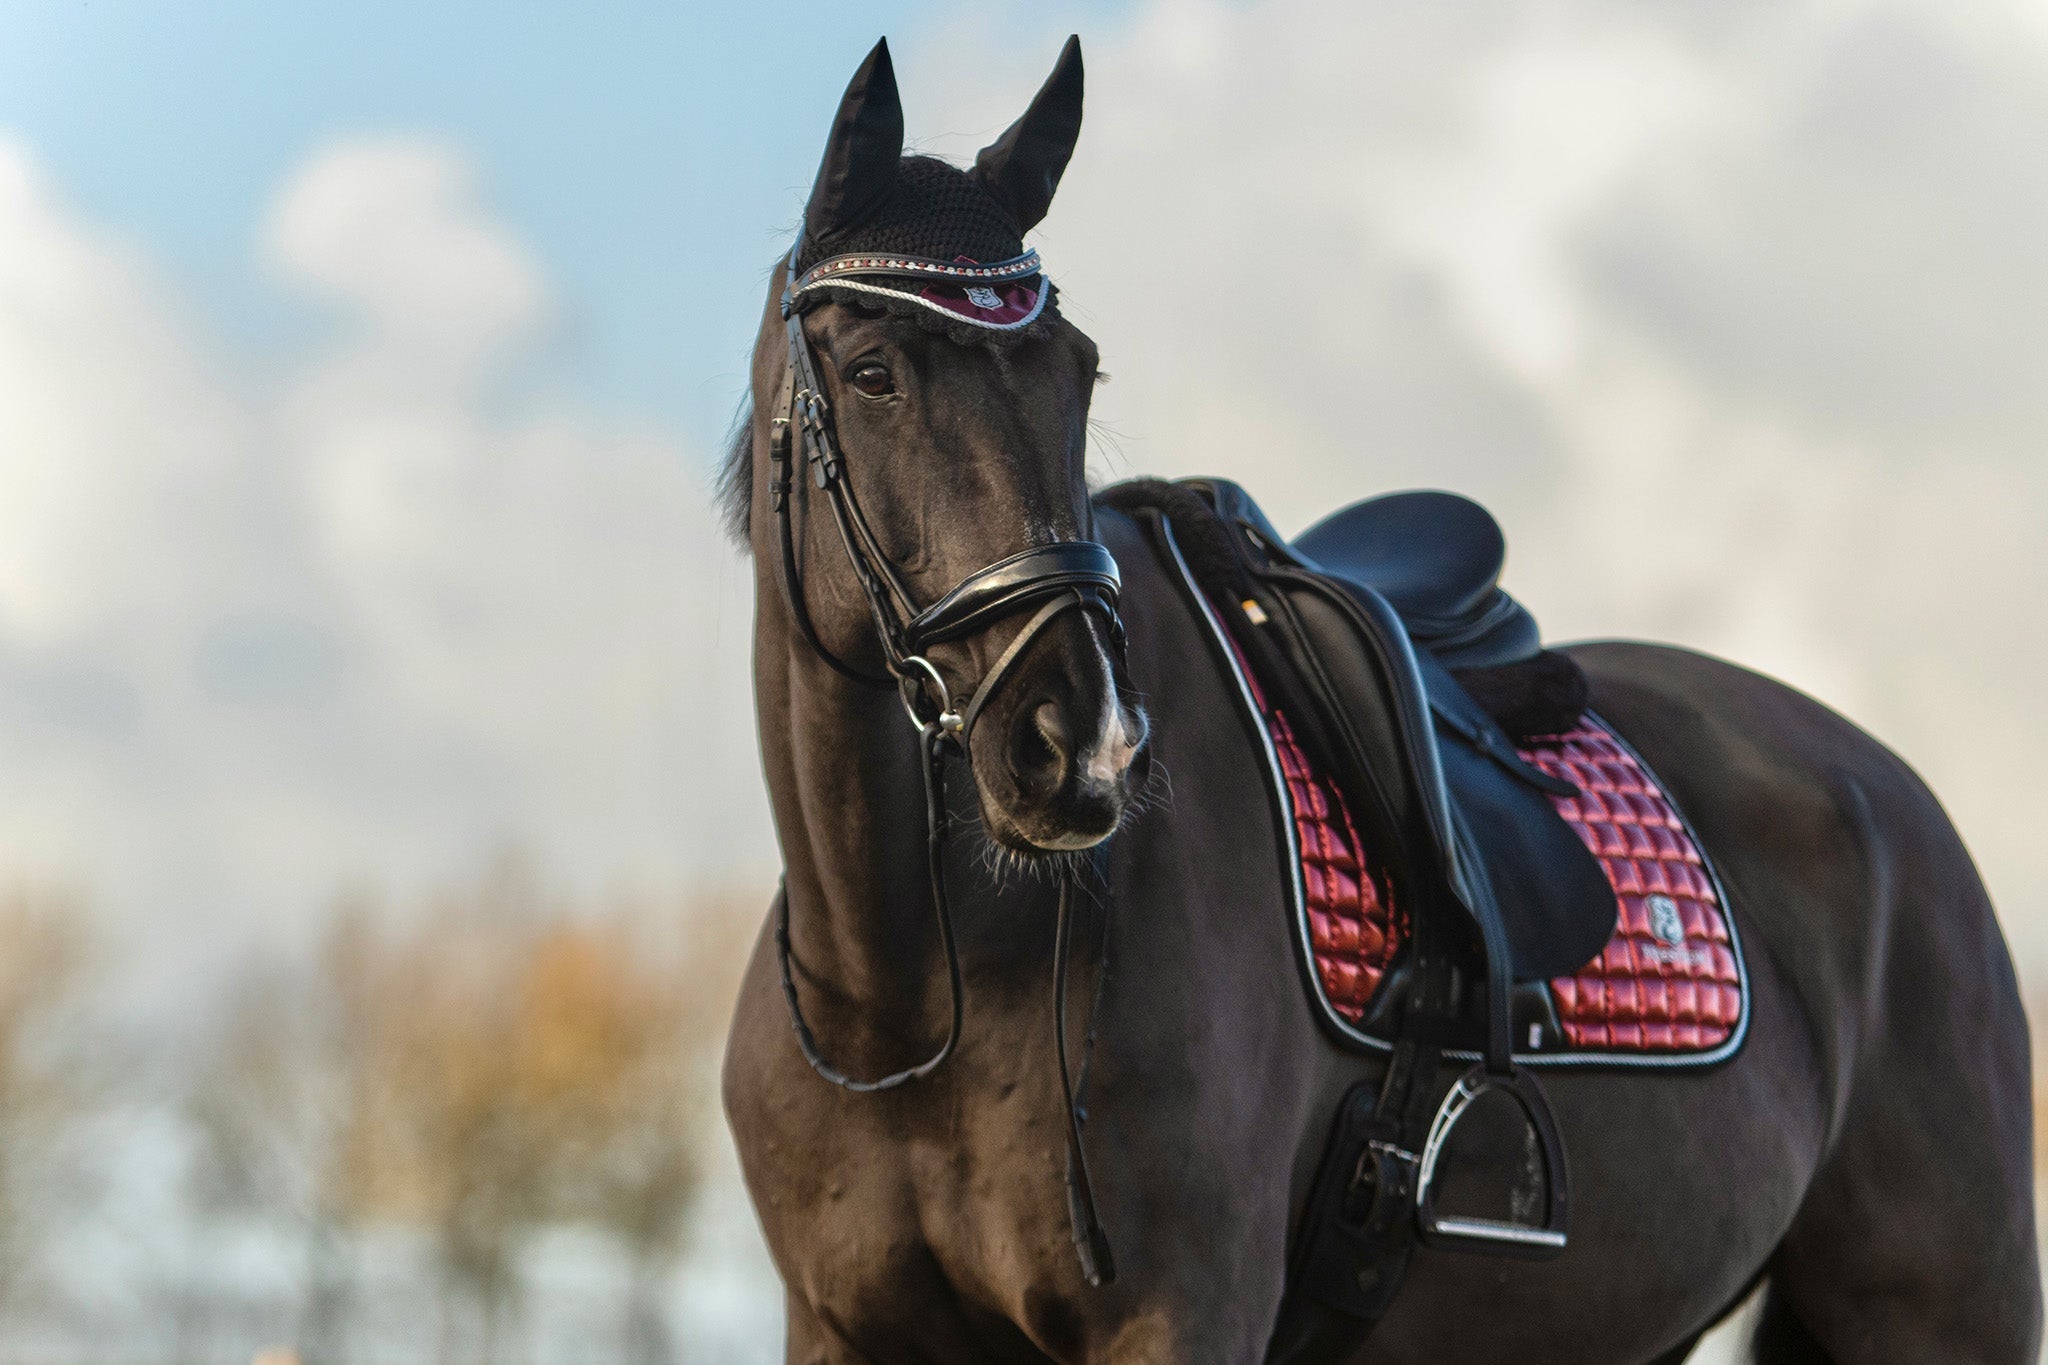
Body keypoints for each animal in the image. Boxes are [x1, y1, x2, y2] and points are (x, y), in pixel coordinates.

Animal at [716, 34, 2031, 1365]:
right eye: (872, 372)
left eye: (1075, 373)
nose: (1083, 748)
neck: (910, 998)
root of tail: (1890, 795)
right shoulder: (837, 1328)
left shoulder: (1185, 1315)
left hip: (1945, 1305)